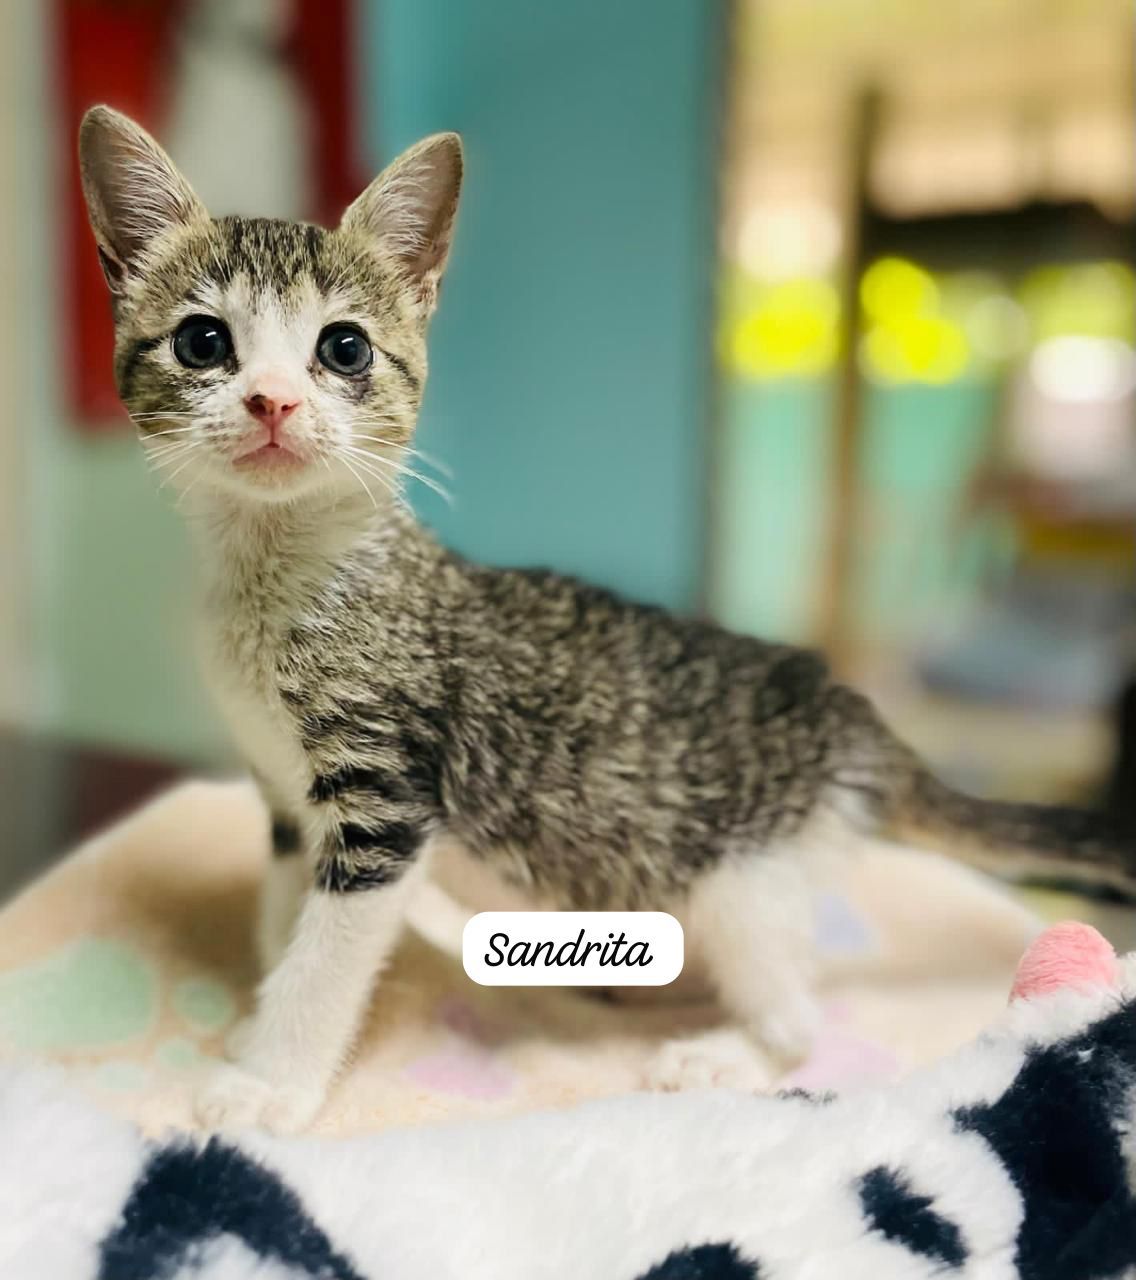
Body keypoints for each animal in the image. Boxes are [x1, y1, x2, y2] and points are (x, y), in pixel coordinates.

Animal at [81, 107, 1136, 1131]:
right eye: (204, 342)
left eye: (343, 347)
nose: (271, 400)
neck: (277, 576)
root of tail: (847, 714)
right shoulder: (284, 800)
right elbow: (283, 923)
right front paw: (254, 1026)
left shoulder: (387, 802)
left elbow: (328, 957)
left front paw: (271, 1086)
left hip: (743, 878)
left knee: (798, 1016)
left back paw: (725, 1052)